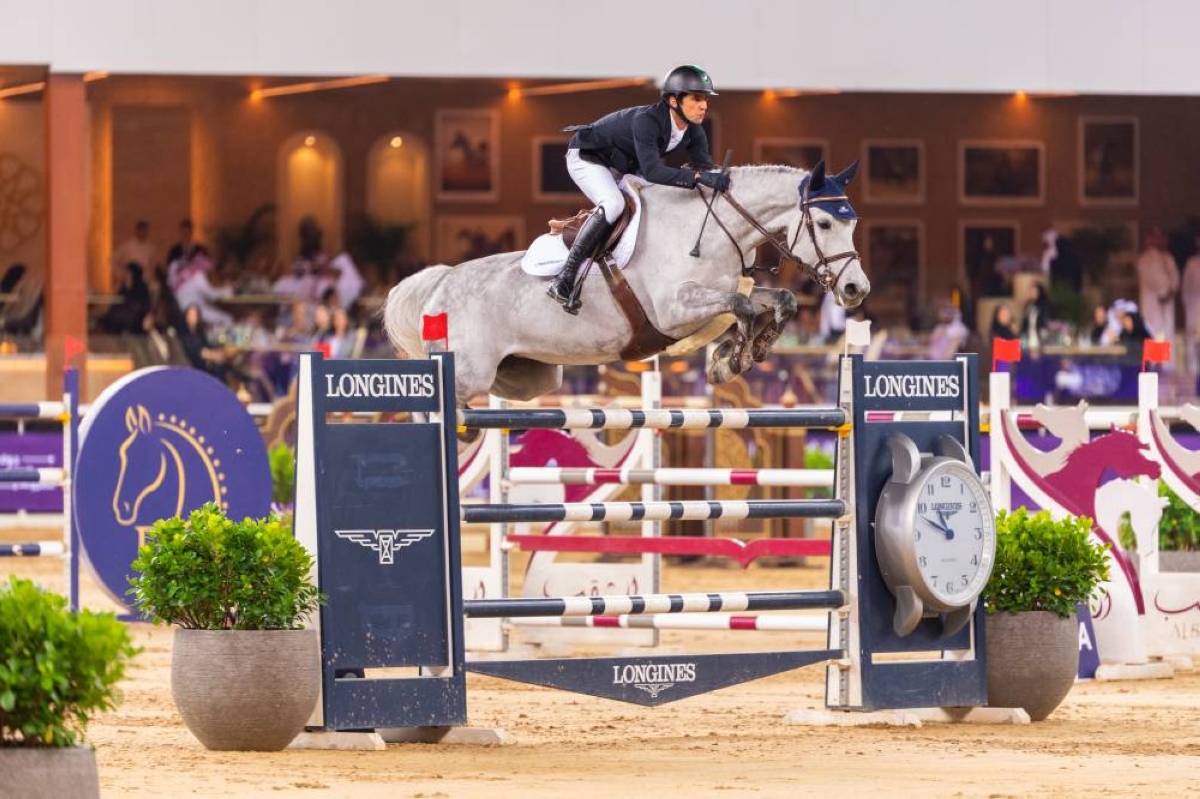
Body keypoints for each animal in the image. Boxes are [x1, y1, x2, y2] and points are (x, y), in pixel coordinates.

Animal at [384, 161, 869, 405]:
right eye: (825, 223)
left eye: (853, 222)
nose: (856, 290)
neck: (709, 231)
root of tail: (441, 283)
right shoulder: (675, 310)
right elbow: (742, 306)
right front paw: (733, 358)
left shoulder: (723, 293)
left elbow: (779, 299)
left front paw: (738, 356)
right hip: (468, 372)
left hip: (530, 376)